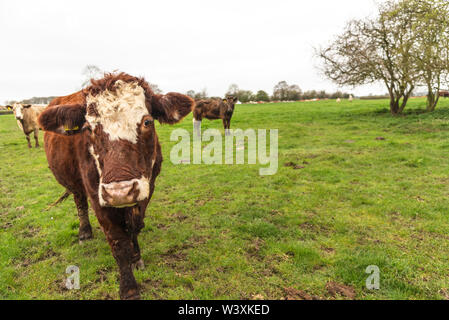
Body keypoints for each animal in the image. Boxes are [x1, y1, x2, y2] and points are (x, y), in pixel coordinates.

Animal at [38, 71, 192, 298]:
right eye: (88, 128)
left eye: (147, 122)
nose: (119, 192)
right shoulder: (98, 196)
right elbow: (118, 242)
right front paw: (129, 288)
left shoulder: (147, 187)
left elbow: (135, 226)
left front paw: (136, 258)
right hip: (76, 185)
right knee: (80, 203)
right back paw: (84, 232)